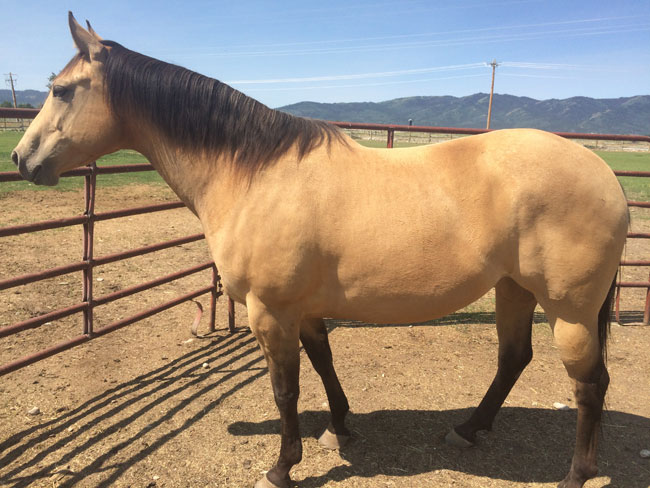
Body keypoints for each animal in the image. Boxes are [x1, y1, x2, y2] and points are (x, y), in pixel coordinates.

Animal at [11, 13, 628, 488]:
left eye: (61, 90)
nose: (20, 158)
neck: (254, 174)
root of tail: (605, 174)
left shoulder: (269, 312)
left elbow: (285, 390)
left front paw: (282, 466)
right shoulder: (301, 310)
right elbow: (324, 362)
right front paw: (340, 427)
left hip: (570, 310)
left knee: (589, 384)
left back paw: (575, 473)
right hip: (514, 288)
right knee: (514, 358)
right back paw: (468, 429)